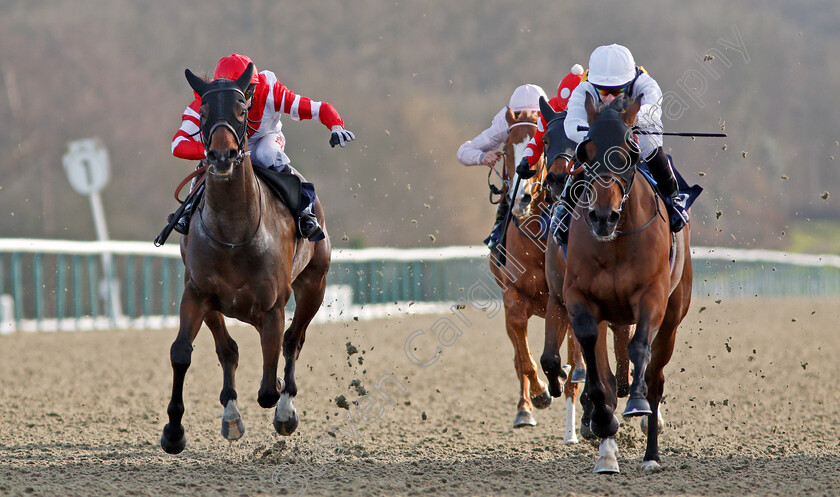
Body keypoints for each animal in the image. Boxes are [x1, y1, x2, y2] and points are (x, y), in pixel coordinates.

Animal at [158, 63, 332, 454]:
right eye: (203, 112)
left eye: (241, 109)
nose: (221, 156)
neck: (234, 233)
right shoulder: (197, 293)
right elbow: (182, 352)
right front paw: (174, 431)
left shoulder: (272, 307)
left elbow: (268, 386)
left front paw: (281, 404)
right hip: (215, 306)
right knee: (229, 350)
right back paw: (232, 416)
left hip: (314, 284)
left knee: (293, 341)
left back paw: (286, 409)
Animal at [540, 96, 632, 442]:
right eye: (546, 139)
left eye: (576, 141)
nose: (556, 177)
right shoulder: (561, 296)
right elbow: (552, 357)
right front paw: (559, 381)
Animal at [560, 92, 692, 472]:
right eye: (585, 151)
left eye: (630, 152)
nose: (603, 217)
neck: (616, 242)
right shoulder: (580, 296)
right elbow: (595, 368)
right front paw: (603, 422)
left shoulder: (652, 297)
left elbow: (639, 352)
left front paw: (636, 404)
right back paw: (607, 454)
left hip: (673, 316)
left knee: (656, 378)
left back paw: (651, 455)